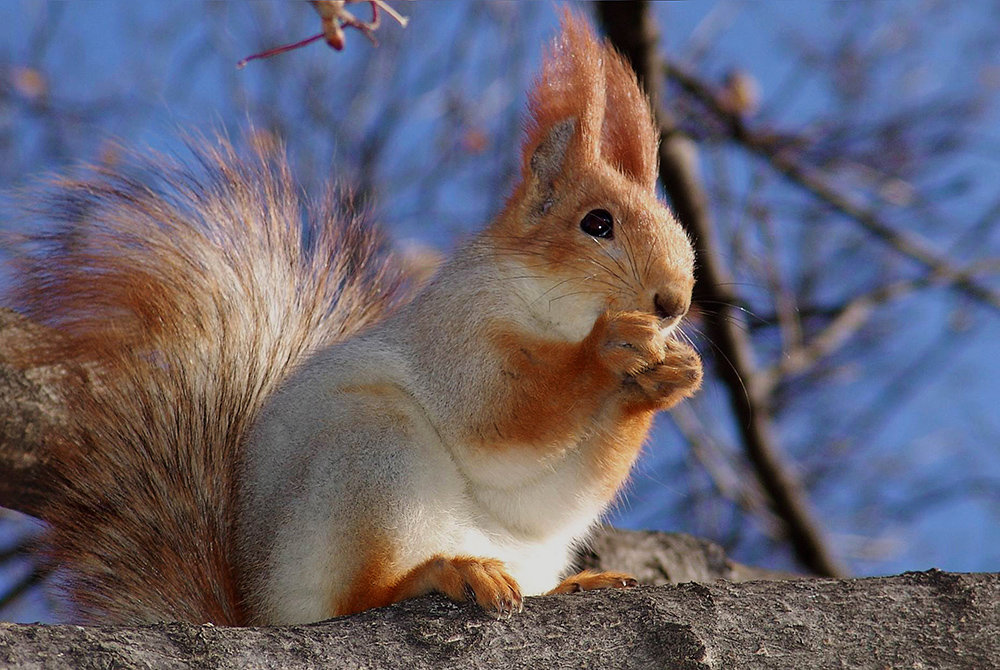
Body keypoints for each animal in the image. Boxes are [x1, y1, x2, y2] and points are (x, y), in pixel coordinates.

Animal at [13, 11, 704, 632]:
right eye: (596, 223)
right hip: (370, 451)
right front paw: (610, 347)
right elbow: (501, 419)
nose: (672, 303)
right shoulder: (457, 339)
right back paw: (439, 574)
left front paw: (670, 377)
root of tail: (258, 613)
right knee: (358, 597)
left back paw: (572, 583)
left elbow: (555, 492)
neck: (550, 318)